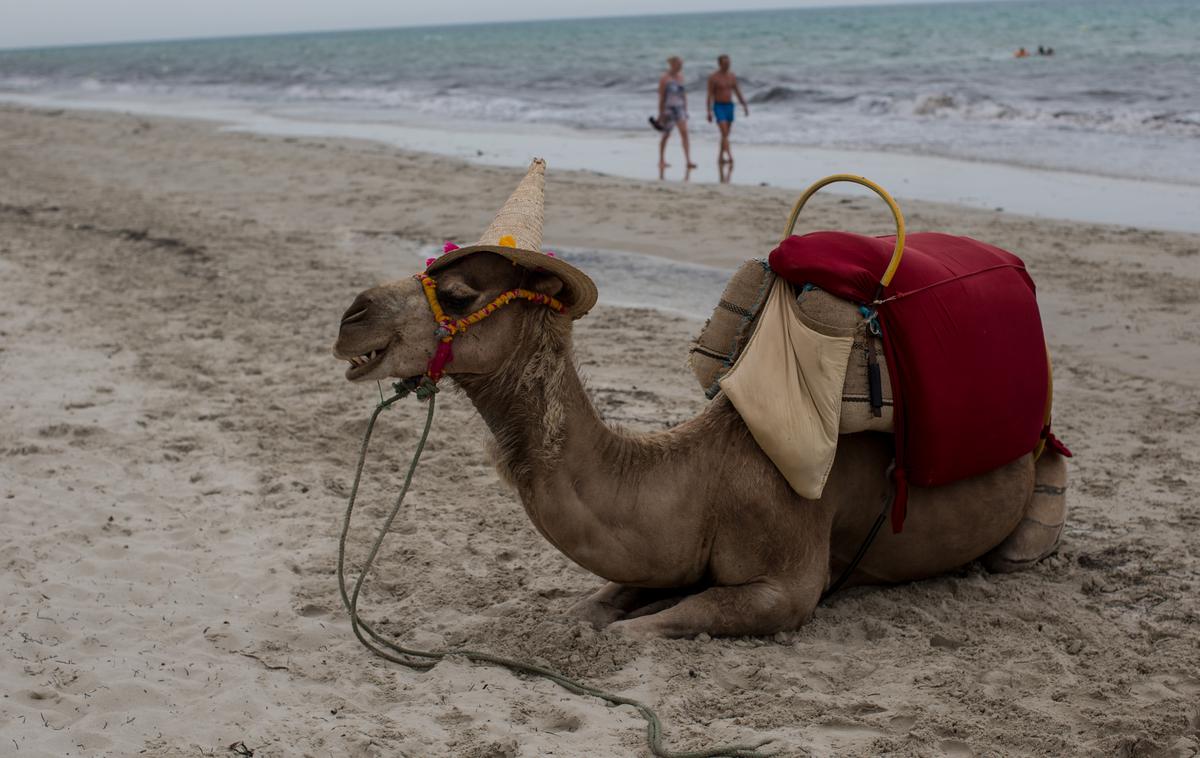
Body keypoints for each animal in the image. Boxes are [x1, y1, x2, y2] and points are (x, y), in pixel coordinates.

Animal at [331, 161, 1070, 638]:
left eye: (459, 294)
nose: (351, 317)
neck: (698, 477)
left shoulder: (788, 582)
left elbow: (657, 624)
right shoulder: (663, 551)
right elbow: (595, 607)